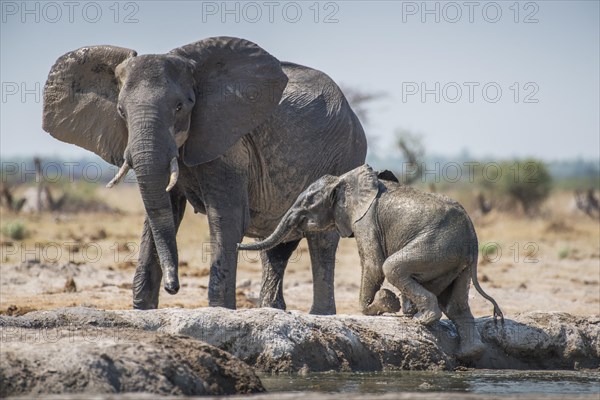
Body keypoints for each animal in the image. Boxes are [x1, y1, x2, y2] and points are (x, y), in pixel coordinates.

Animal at [42, 36, 366, 312]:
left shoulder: (229, 143)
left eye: (180, 106)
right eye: (121, 111)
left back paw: (320, 315)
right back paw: (272, 311)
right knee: (276, 246)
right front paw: (143, 310)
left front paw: (220, 310)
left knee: (322, 240)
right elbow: (162, 215)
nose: (174, 286)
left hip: (344, 156)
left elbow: (226, 217)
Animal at [239, 163, 502, 360]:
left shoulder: (365, 220)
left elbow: (374, 264)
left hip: (438, 245)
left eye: (307, 202)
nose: (238, 245)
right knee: (456, 303)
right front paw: (393, 303)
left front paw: (386, 302)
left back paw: (421, 319)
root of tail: (472, 235)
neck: (343, 180)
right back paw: (469, 353)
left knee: (392, 267)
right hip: (458, 259)